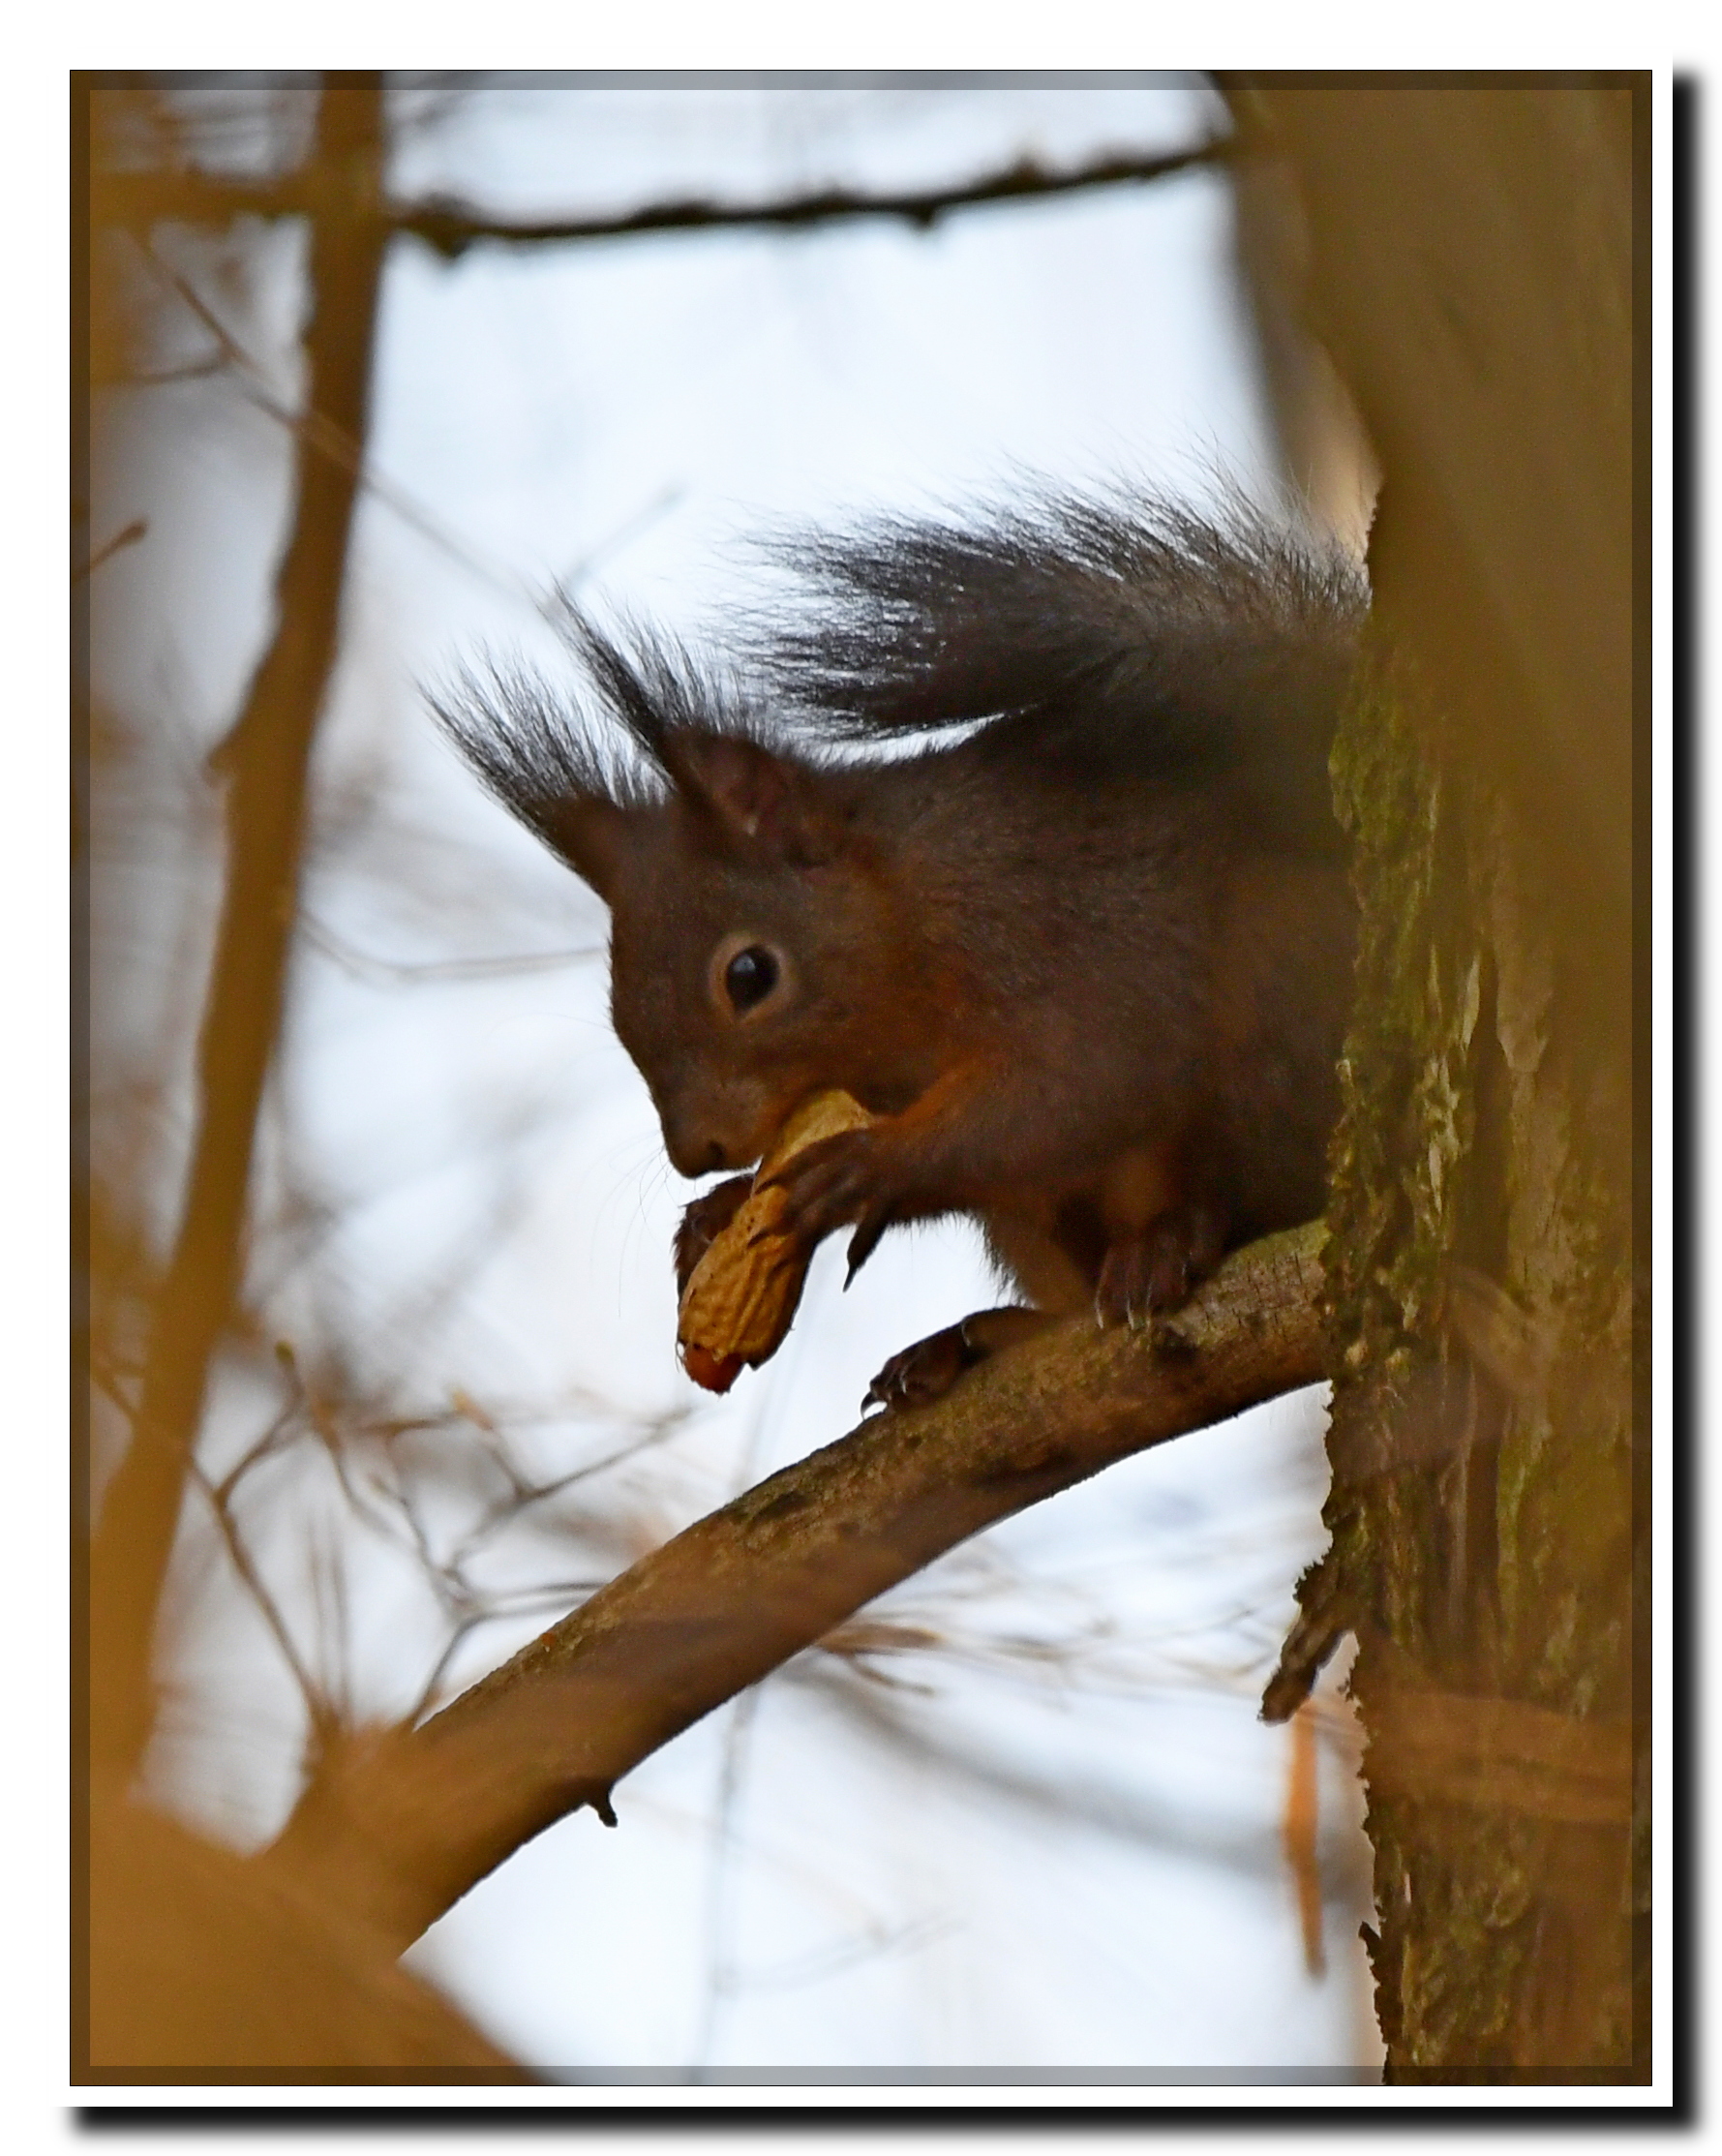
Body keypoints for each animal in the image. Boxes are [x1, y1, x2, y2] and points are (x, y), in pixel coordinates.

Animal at [436, 493, 1364, 1409]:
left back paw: (1175, 1237)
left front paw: (869, 1167)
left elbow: (1084, 1083)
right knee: (1067, 1297)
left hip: (1273, 1009)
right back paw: (971, 1342)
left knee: (1254, 1186)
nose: (697, 1153)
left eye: (749, 974)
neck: (905, 923)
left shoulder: (1060, 932)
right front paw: (718, 1213)